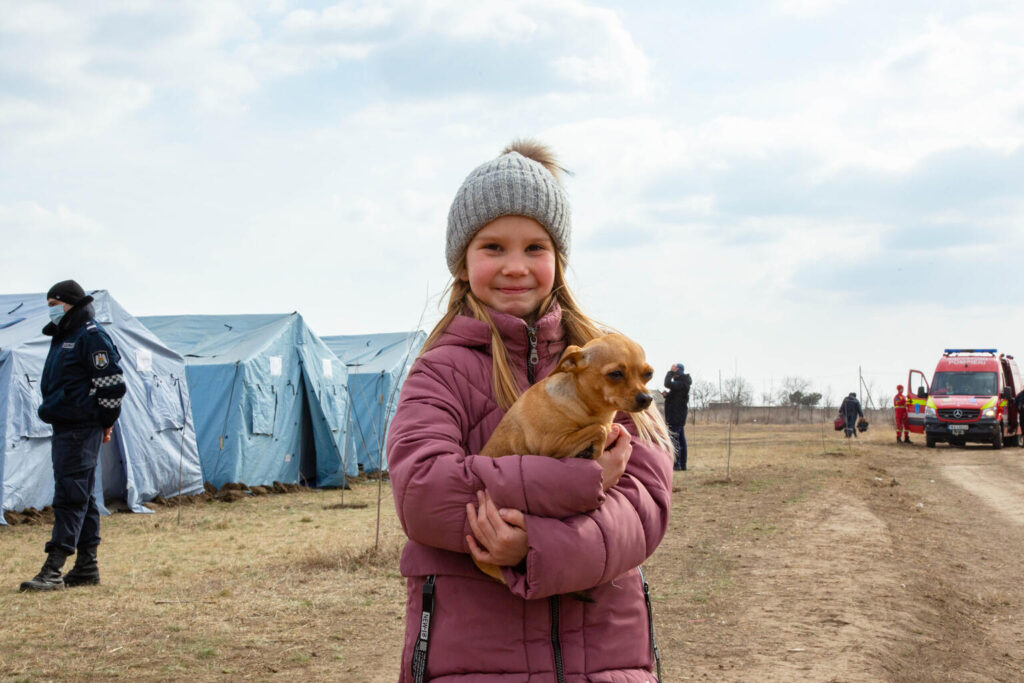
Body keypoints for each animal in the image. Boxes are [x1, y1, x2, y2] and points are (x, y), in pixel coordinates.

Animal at [473, 331, 651, 581]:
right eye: (615, 374)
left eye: (648, 374)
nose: (647, 398)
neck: (587, 408)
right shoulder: (552, 445)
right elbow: (599, 429)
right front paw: (593, 450)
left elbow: (604, 428)